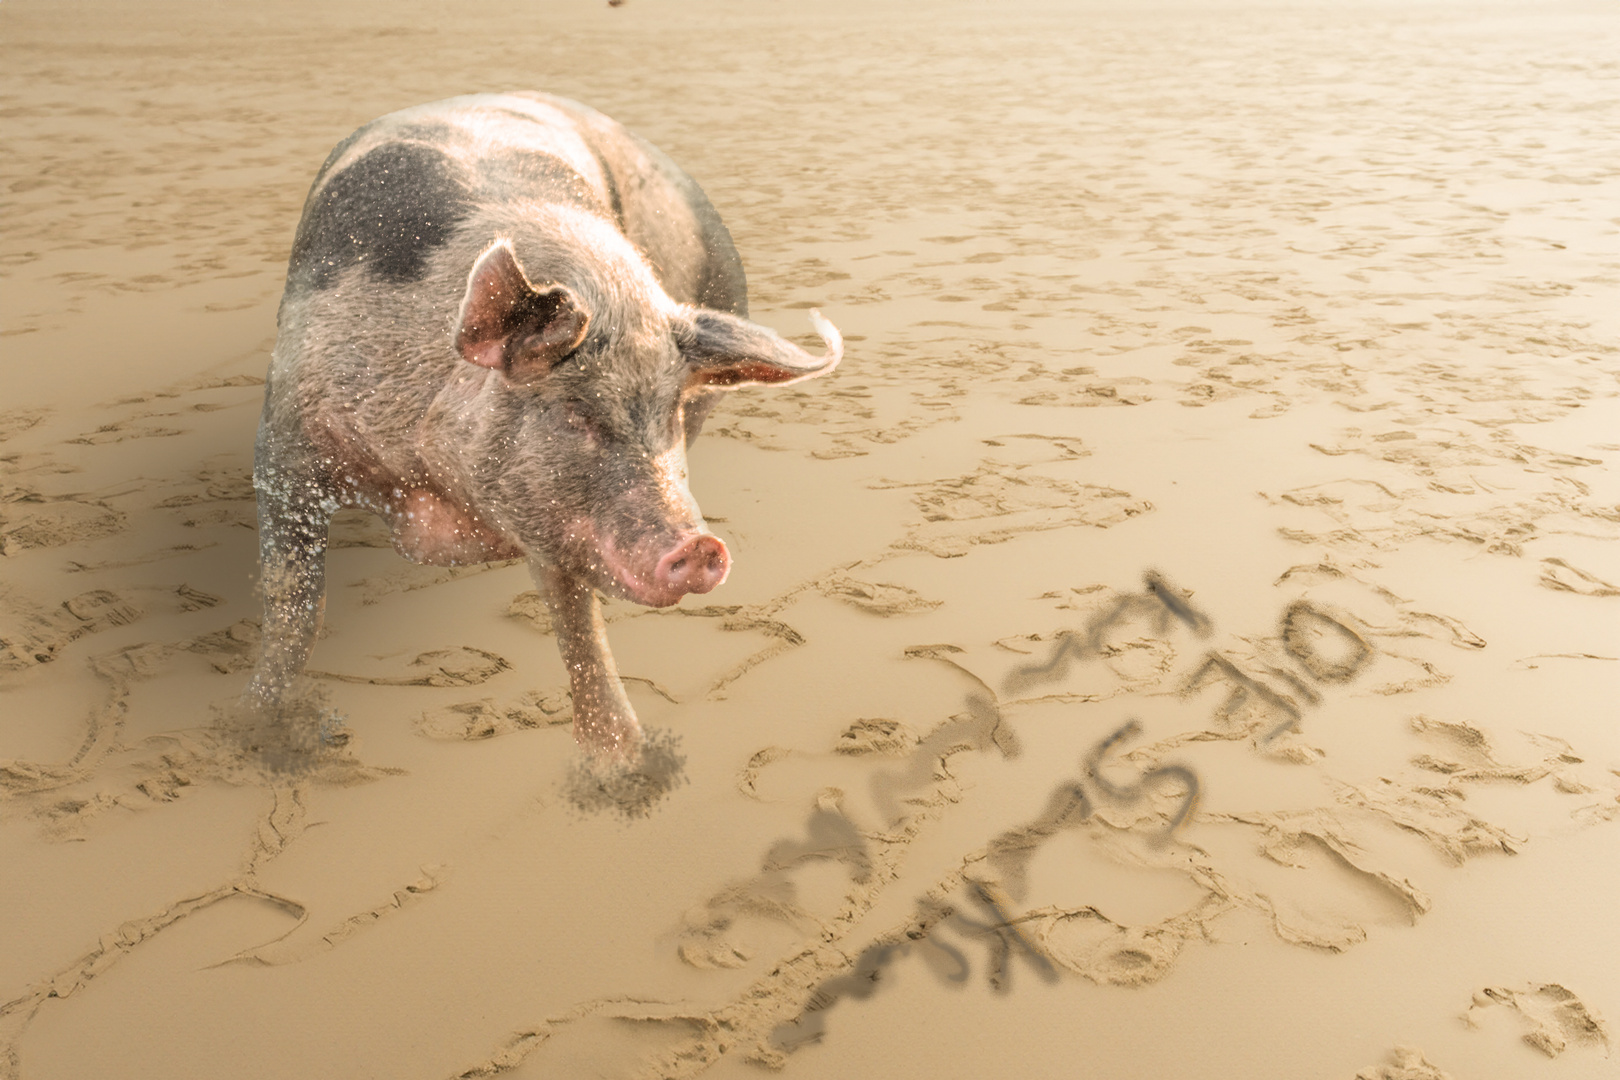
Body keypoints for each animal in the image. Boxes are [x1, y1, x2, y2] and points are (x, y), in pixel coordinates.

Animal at [249, 95, 848, 761]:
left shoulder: (552, 517)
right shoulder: (286, 443)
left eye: (668, 412)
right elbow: (294, 603)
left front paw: (624, 766)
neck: (436, 490)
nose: (700, 547)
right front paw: (261, 731)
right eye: (574, 412)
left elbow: (578, 623)